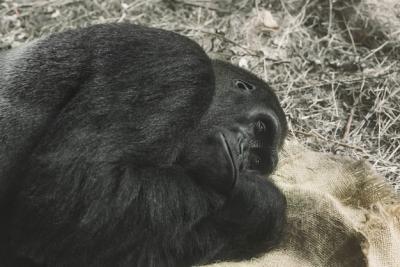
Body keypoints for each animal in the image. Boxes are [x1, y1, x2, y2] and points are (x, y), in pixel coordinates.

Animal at [0, 24, 288, 266]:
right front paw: (260, 195)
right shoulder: (178, 66)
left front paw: (258, 207)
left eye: (257, 161)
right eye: (261, 127)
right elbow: (76, 189)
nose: (241, 156)